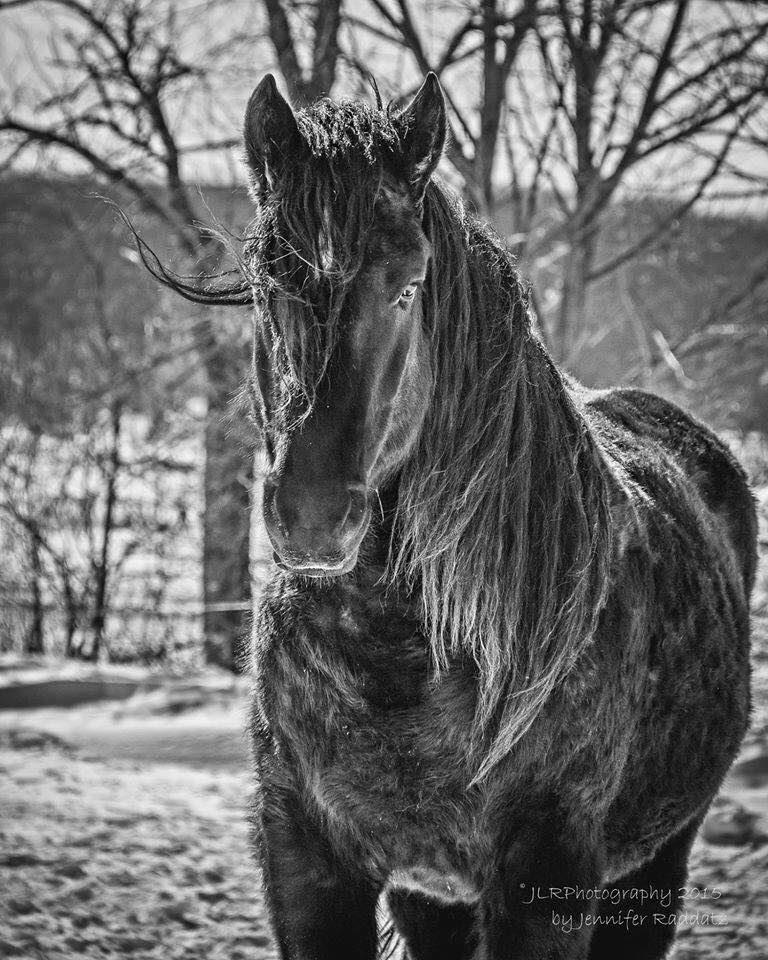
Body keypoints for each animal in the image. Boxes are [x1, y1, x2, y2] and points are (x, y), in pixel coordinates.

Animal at [147, 75, 752, 960]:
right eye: (265, 286)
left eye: (406, 287)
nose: (312, 516)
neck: (406, 655)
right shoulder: (307, 863)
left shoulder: (545, 878)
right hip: (432, 898)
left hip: (655, 862)